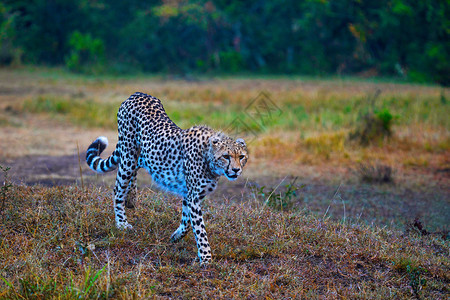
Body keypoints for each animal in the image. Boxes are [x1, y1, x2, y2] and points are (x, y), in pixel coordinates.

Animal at [86, 92, 248, 262]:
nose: (236, 170)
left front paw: (176, 236)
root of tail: (137, 94)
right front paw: (206, 258)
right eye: (226, 156)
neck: (209, 159)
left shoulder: (190, 194)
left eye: (242, 157)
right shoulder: (193, 196)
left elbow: (187, 222)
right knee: (118, 188)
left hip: (143, 155)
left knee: (134, 168)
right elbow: (200, 229)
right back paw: (122, 223)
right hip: (128, 153)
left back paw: (131, 198)